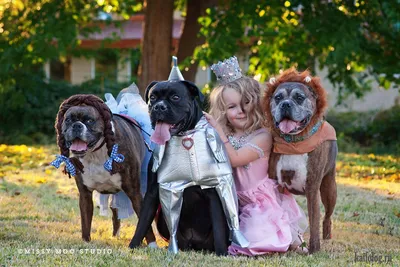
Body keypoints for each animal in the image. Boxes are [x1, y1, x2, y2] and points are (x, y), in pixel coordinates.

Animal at [54, 94, 157, 247]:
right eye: (68, 120)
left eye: (89, 120)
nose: (76, 125)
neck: (95, 152)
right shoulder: (85, 195)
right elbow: (86, 221)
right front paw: (85, 242)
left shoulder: (135, 193)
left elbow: (145, 222)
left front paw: (152, 245)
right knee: (115, 213)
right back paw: (115, 235)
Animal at [128, 79, 228, 255]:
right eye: (153, 97)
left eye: (175, 97)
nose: (159, 107)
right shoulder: (153, 191)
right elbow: (143, 222)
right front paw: (133, 246)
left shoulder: (212, 190)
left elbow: (218, 227)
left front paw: (222, 253)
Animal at [262, 68, 338, 254]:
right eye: (278, 98)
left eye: (299, 97)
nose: (285, 104)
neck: (294, 143)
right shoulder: (277, 184)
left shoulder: (312, 188)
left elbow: (314, 221)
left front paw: (314, 249)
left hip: (329, 189)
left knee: (327, 215)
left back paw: (327, 235)